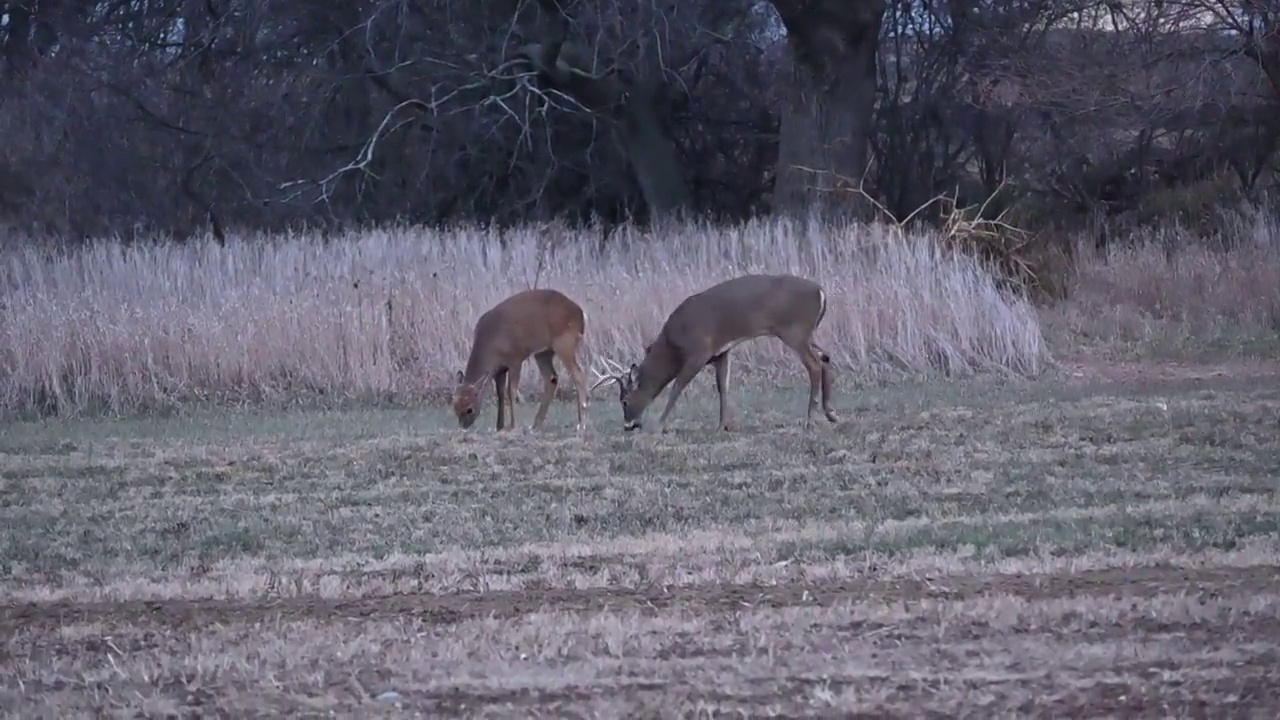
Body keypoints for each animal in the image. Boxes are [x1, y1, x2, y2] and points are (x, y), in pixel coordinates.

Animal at [453, 285, 591, 430]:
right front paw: (500, 426)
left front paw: (513, 425)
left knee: (579, 376)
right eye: (455, 407)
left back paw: (582, 424)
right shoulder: (499, 369)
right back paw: (536, 424)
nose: (464, 426)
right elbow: (500, 393)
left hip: (564, 343)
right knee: (552, 379)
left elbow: (511, 391)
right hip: (543, 352)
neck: (491, 345)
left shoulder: (515, 358)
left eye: (469, 409)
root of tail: (580, 313)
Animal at [588, 272, 839, 430]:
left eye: (624, 401)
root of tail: (821, 291)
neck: (672, 344)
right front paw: (722, 425)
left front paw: (659, 425)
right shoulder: (721, 353)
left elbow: (677, 387)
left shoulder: (699, 351)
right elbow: (723, 387)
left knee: (815, 365)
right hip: (807, 333)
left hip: (794, 331)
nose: (628, 426)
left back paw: (810, 419)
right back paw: (831, 413)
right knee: (826, 358)